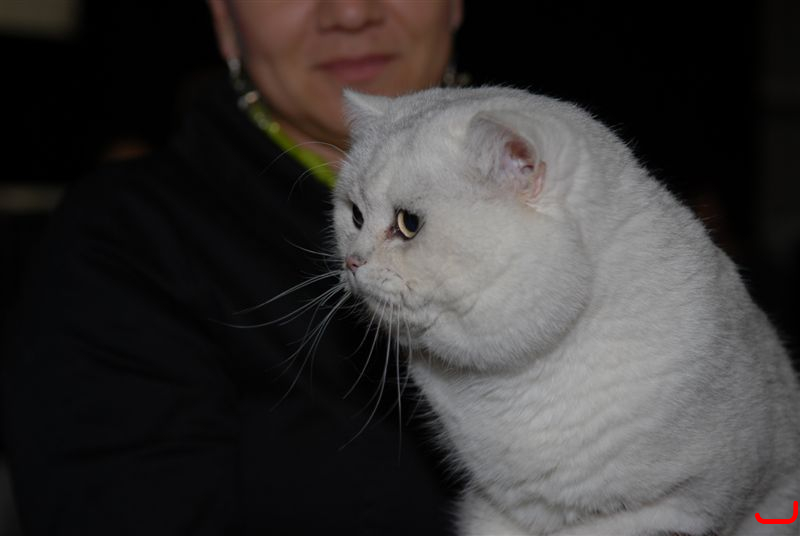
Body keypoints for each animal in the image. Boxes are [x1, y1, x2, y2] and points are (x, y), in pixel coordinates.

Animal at [330, 86, 800, 536]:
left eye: (408, 224)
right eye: (355, 216)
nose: (352, 262)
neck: (514, 384)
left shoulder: (681, 508)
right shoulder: (492, 510)